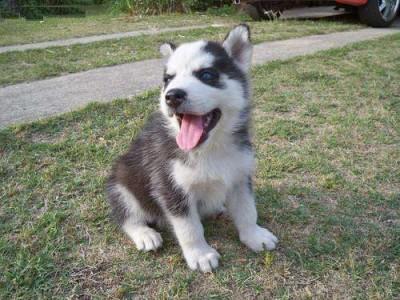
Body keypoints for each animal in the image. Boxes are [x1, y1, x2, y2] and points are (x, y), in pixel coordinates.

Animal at [108, 25, 280, 272]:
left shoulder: (240, 175)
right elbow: (189, 227)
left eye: (207, 75)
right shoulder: (171, 186)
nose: (172, 96)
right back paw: (144, 234)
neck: (210, 149)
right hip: (122, 182)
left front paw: (254, 235)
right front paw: (200, 254)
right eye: (168, 79)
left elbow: (248, 210)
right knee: (126, 215)